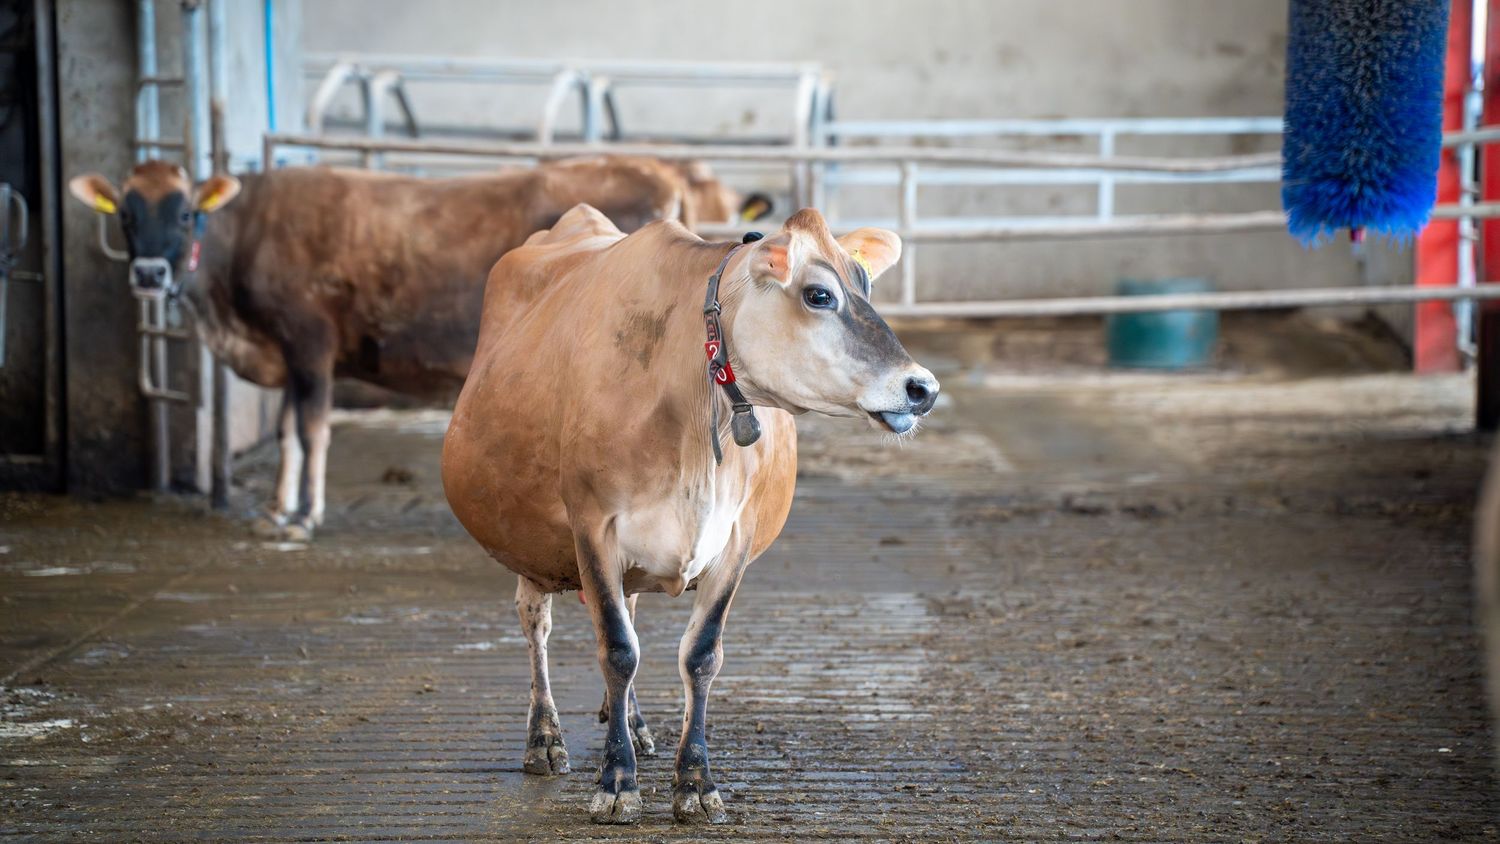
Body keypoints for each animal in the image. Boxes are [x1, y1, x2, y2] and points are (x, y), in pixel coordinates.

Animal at [68, 157, 767, 538]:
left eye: (186, 213)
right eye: (125, 214)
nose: (148, 274)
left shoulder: (309, 339)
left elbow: (311, 428)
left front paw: (304, 515)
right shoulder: (292, 354)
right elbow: (291, 430)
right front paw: (275, 508)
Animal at [441, 204, 940, 824]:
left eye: (866, 283)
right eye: (819, 294)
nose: (922, 387)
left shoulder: (737, 538)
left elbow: (700, 655)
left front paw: (695, 784)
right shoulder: (591, 526)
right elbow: (617, 649)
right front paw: (617, 783)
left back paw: (633, 724)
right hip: (529, 545)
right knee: (538, 624)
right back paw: (544, 740)